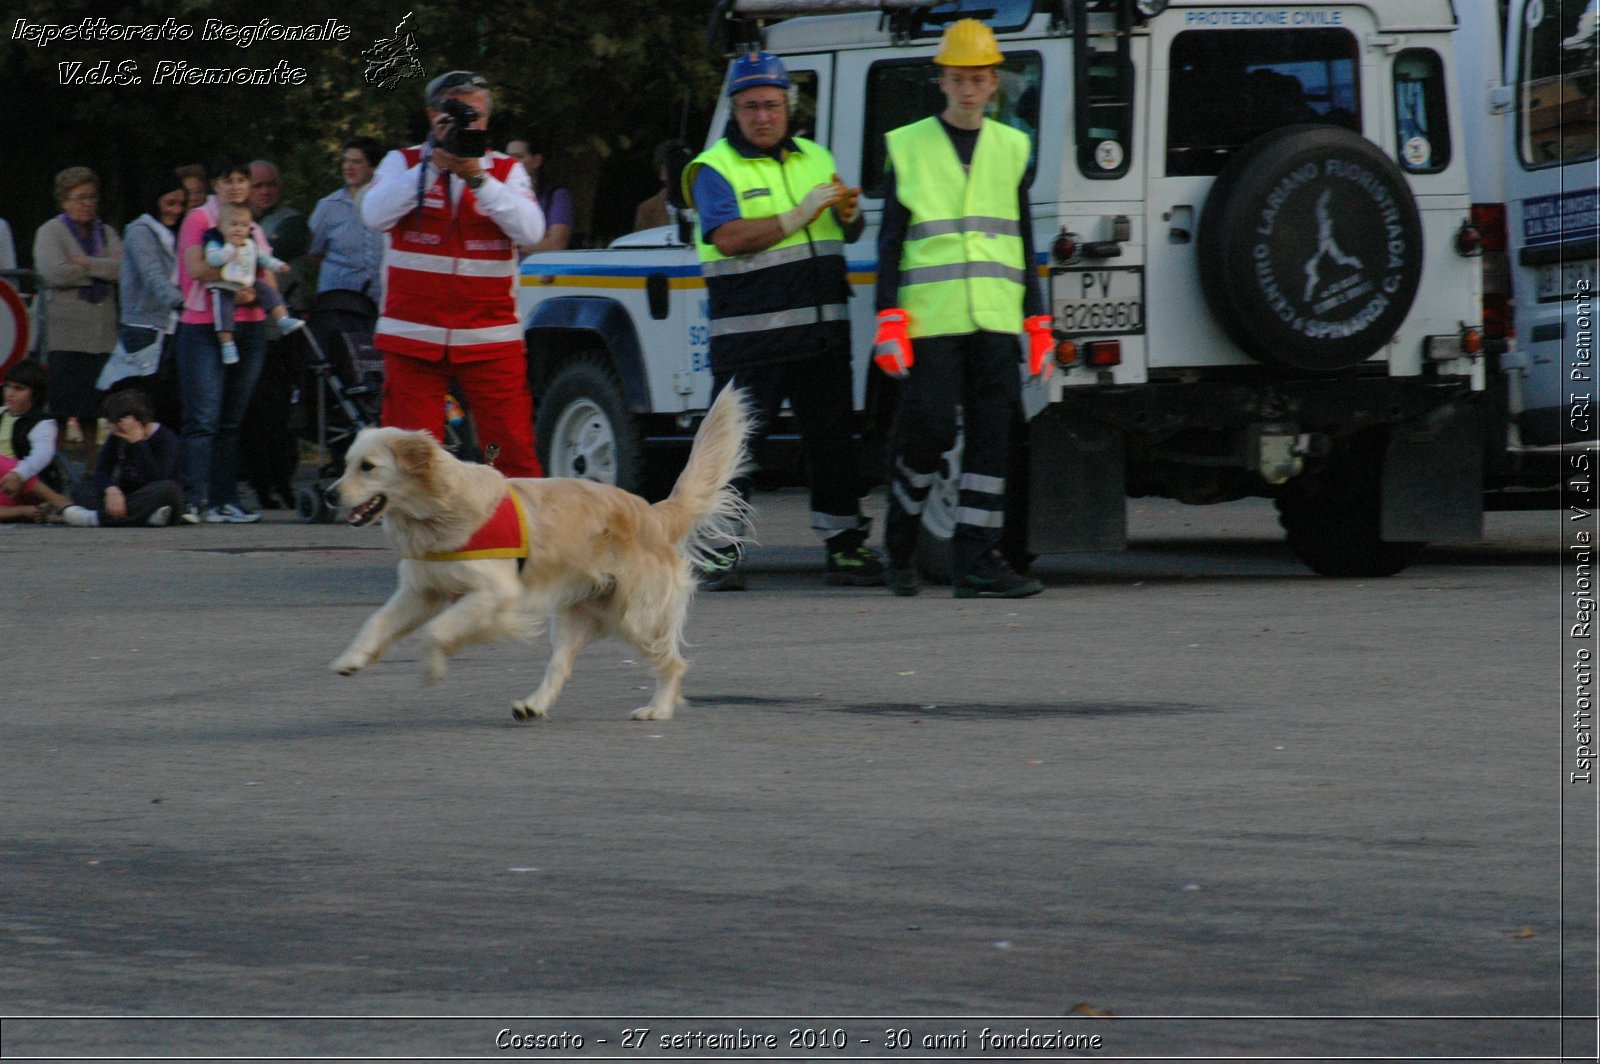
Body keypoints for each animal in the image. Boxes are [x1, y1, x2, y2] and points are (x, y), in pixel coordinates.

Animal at [328, 385, 752, 716]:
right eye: (347, 464)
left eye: (368, 466)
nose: (330, 494)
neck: (437, 511)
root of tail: (653, 512)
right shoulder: (421, 592)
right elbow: (377, 622)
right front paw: (352, 659)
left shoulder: (494, 594)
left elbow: (436, 631)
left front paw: (432, 668)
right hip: (572, 619)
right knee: (561, 667)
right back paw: (533, 706)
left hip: (638, 618)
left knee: (674, 664)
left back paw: (658, 709)